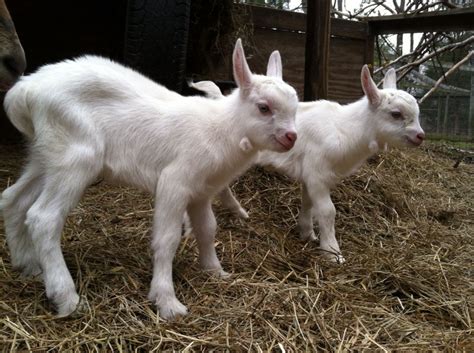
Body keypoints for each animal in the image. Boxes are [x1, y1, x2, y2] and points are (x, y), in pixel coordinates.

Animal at [1, 39, 298, 320]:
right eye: (263, 107)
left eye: (295, 109)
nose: (291, 137)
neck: (221, 128)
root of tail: (25, 90)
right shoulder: (175, 181)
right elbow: (167, 239)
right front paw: (166, 301)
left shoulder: (201, 192)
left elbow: (207, 229)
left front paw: (215, 271)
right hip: (76, 156)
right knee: (43, 217)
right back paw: (67, 298)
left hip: (46, 155)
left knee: (13, 200)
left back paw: (28, 266)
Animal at [193, 66, 426, 262]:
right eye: (396, 114)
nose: (420, 136)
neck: (344, 129)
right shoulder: (318, 173)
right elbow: (328, 211)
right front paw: (332, 252)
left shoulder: (310, 175)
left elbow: (308, 204)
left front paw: (307, 233)